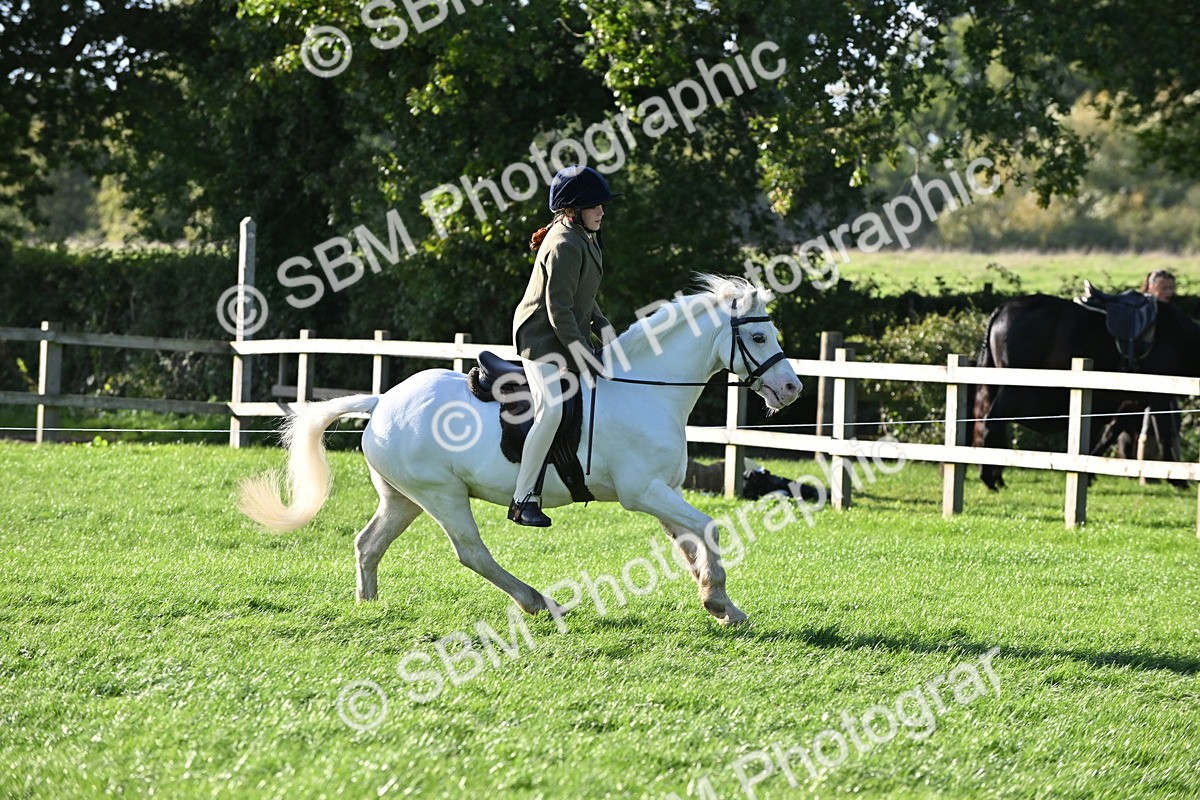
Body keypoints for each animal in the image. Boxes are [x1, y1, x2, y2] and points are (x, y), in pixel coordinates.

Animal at [239, 275, 802, 626]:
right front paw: (719, 596)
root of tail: (381, 401)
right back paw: (540, 603)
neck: (644, 389)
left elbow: (689, 540)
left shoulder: (661, 492)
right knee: (471, 552)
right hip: (442, 495)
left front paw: (718, 602)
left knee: (368, 544)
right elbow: (709, 528)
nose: (792, 389)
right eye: (757, 336)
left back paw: (368, 606)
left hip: (403, 498)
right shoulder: (642, 492)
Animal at [972, 293, 1200, 490]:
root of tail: (1002, 308)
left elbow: (1110, 434)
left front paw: (1089, 474)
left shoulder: (1133, 401)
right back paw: (988, 478)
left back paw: (996, 476)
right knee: (991, 424)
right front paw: (1178, 481)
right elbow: (1165, 436)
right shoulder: (1159, 397)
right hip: (1012, 388)